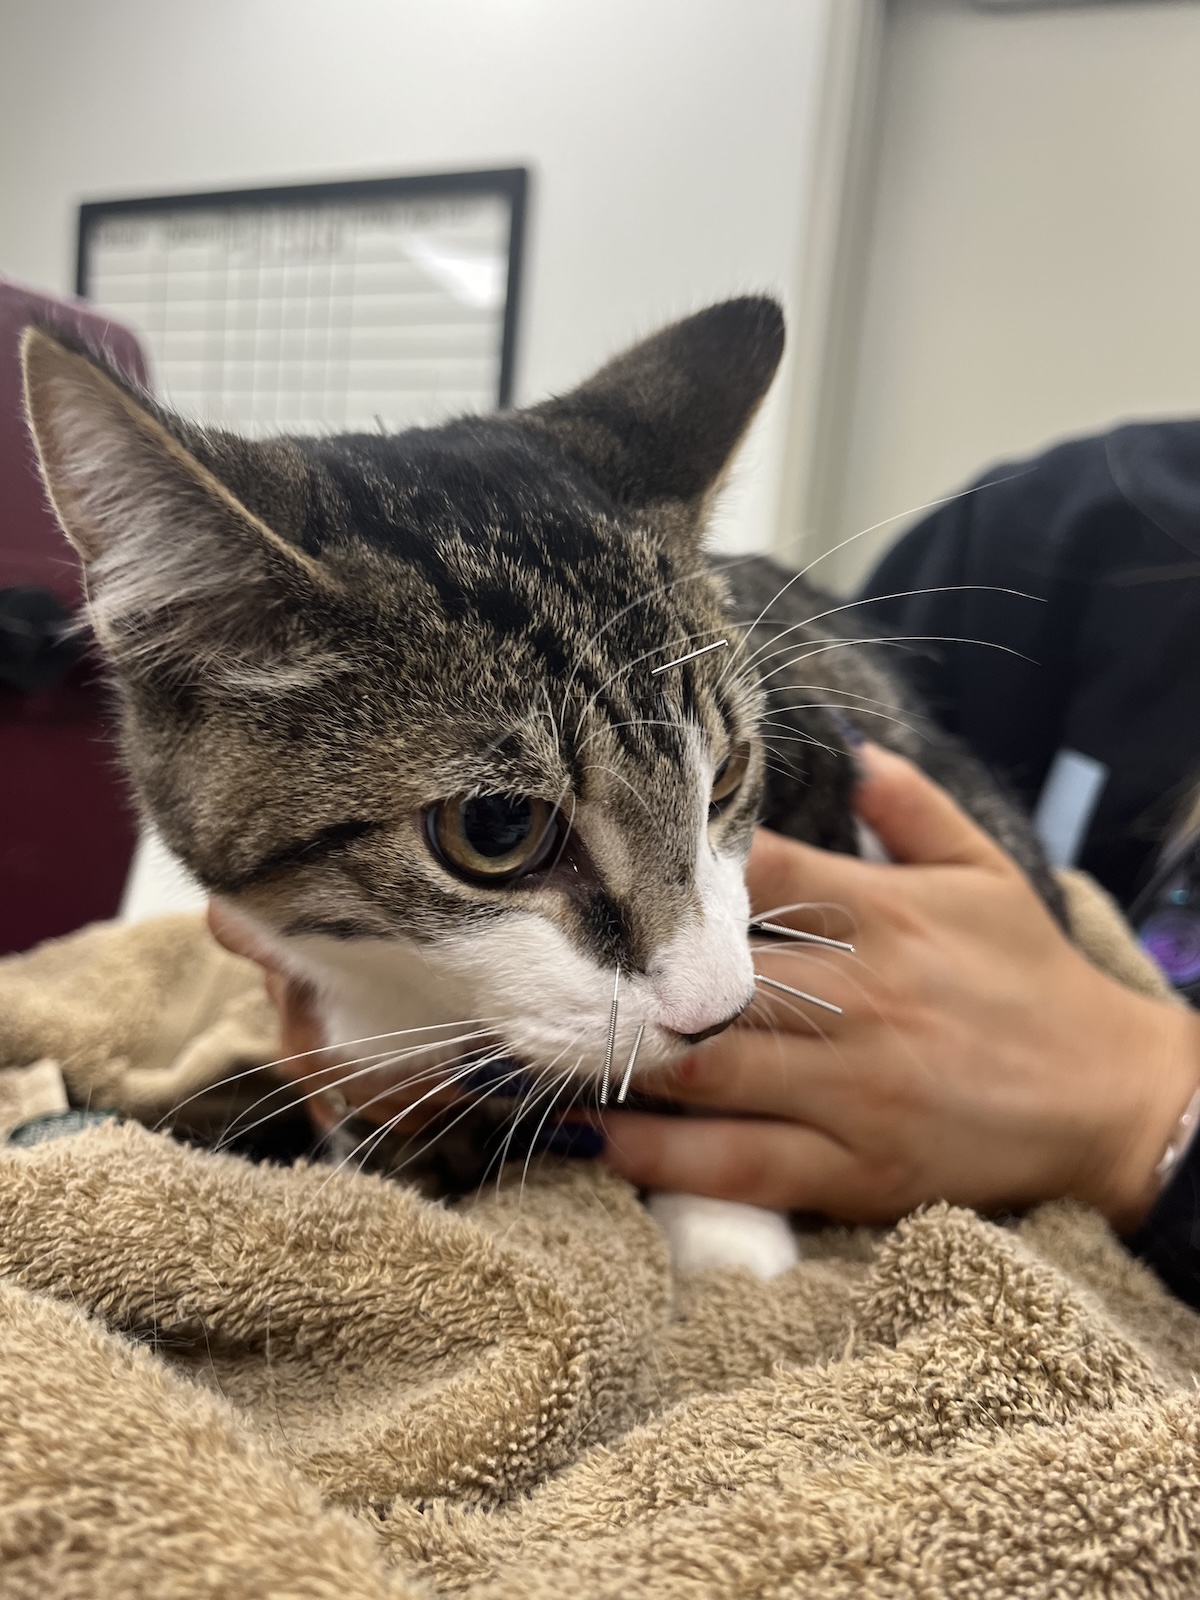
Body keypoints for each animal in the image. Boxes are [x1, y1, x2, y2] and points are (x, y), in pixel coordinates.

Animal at [16, 297, 1049, 1273]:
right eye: (499, 828)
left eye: (730, 774)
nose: (716, 1014)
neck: (413, 992)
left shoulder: (833, 758)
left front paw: (726, 1235)